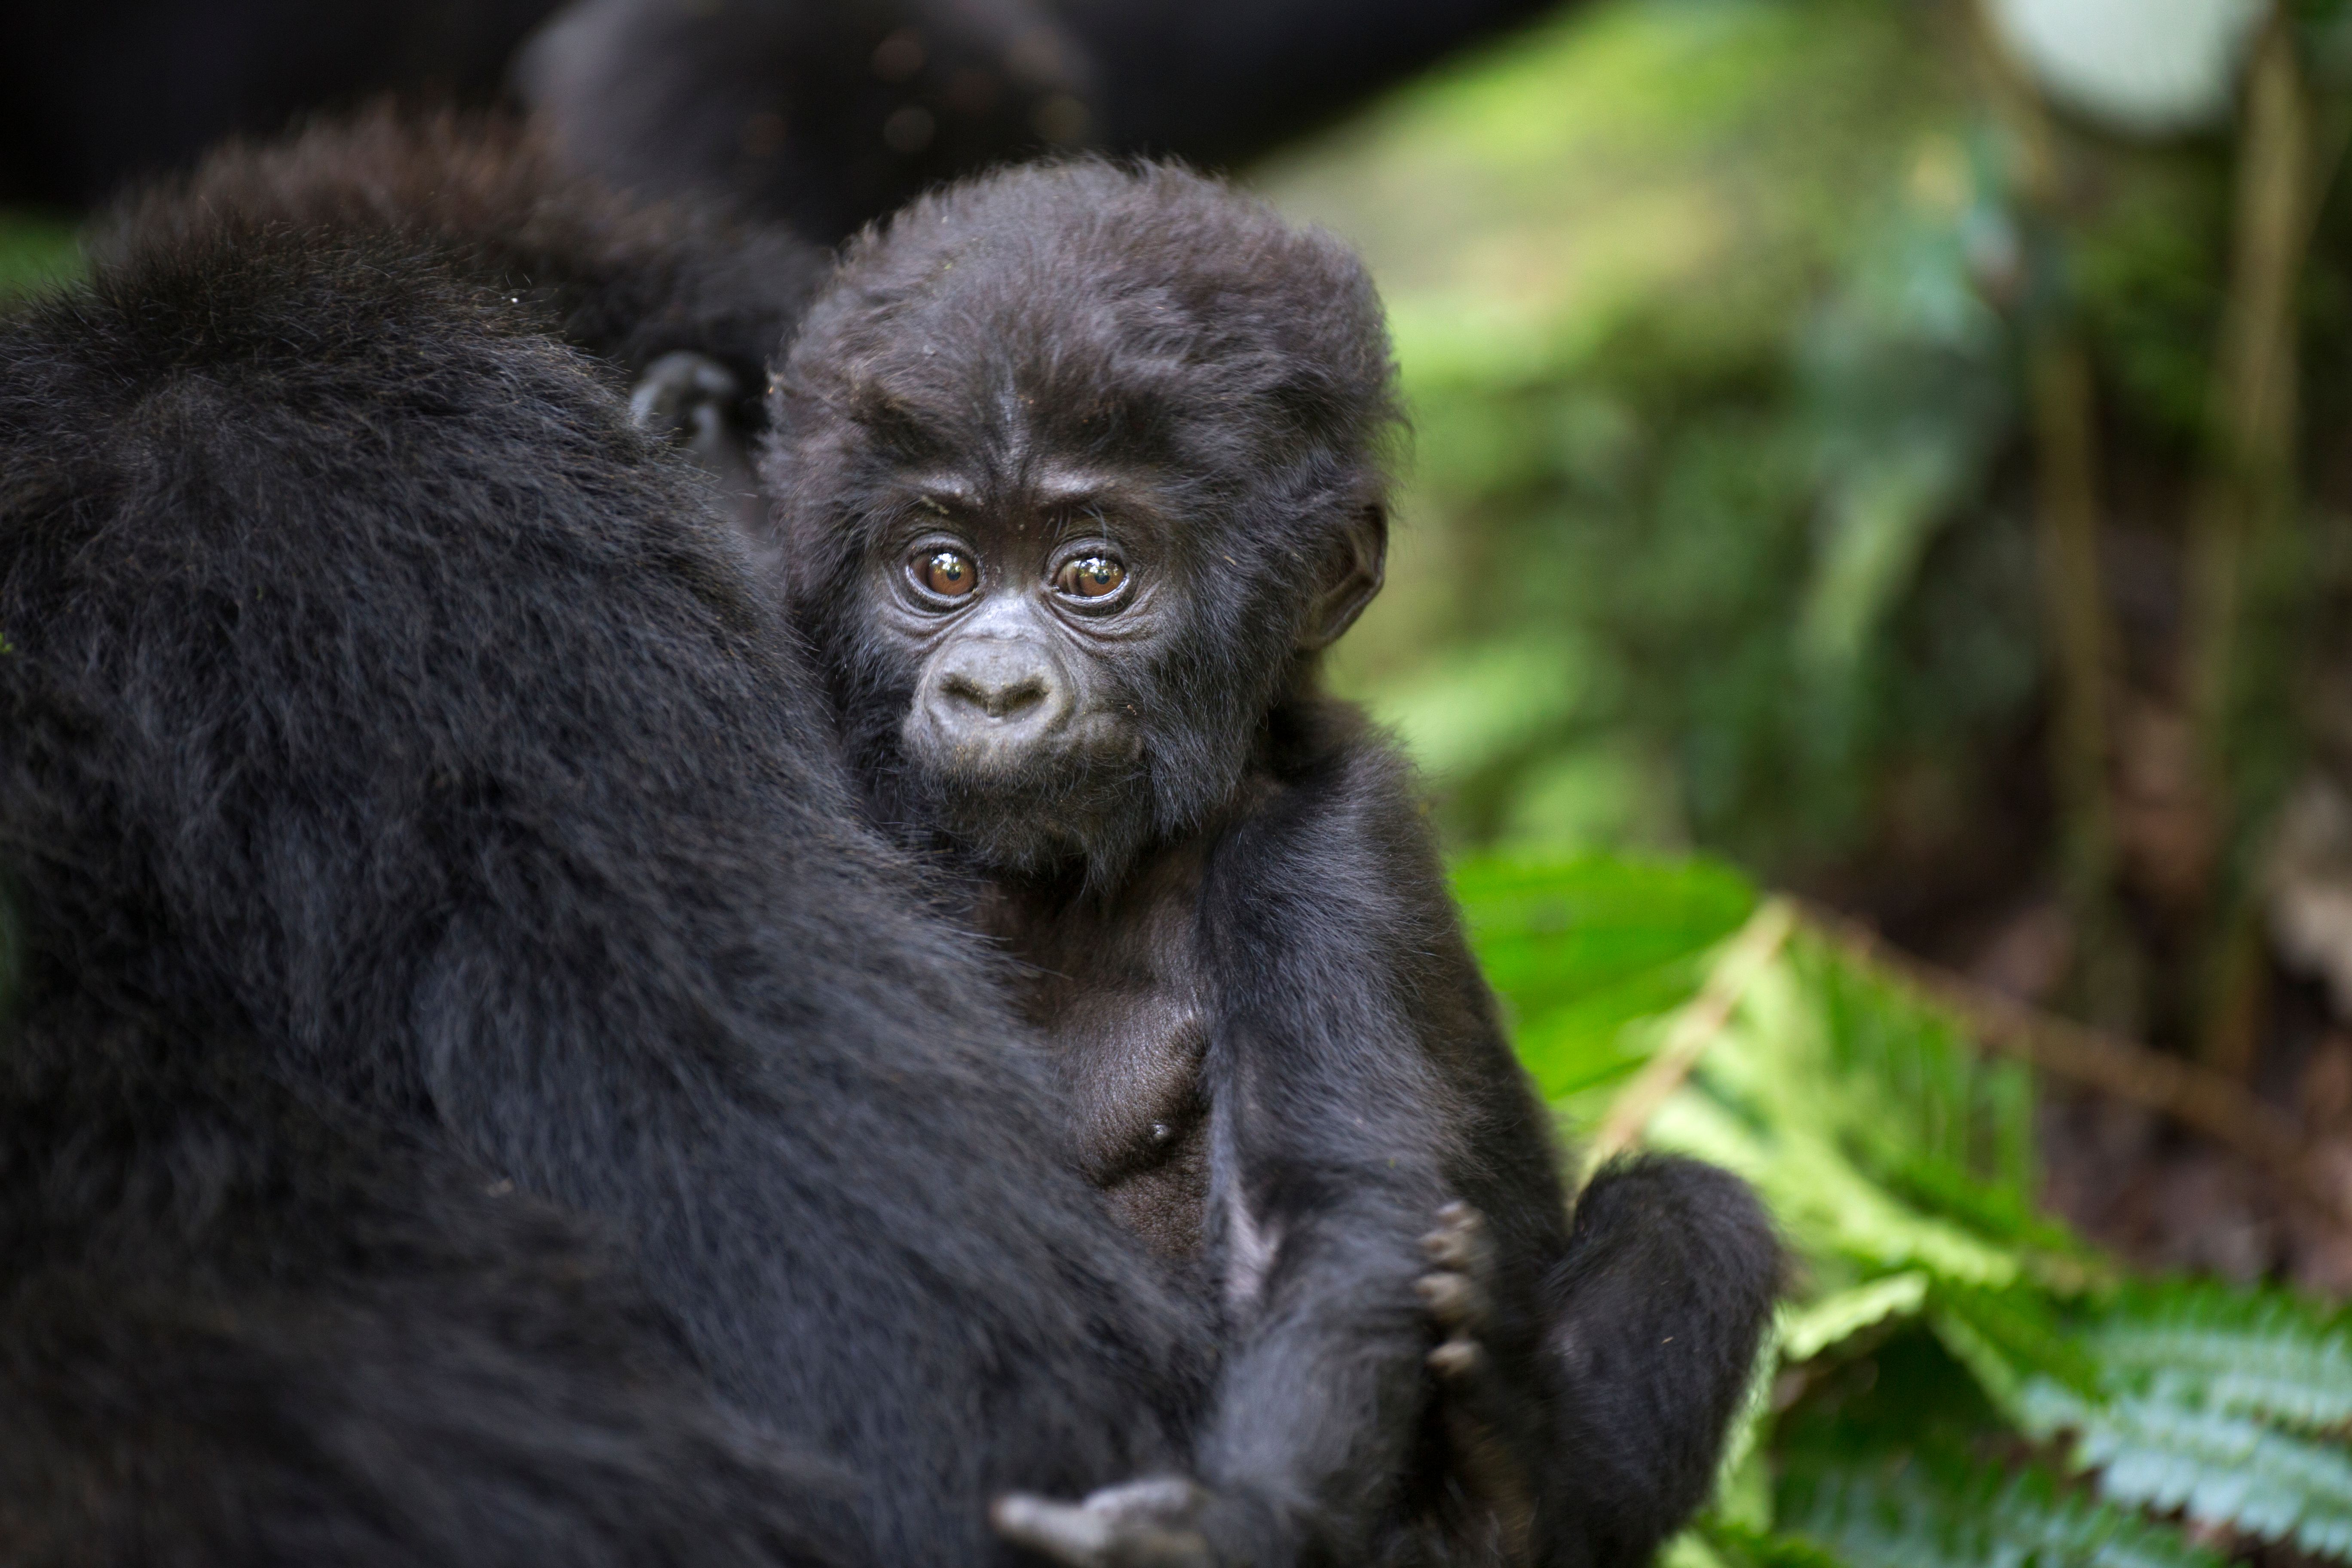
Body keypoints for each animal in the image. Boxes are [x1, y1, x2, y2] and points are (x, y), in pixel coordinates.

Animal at [762, 158, 1781, 1567]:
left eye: (1093, 572)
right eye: (943, 568)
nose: (992, 688)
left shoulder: (1327, 850)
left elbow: (1327, 1219)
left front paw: (1217, 1525)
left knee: (1695, 1214)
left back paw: (1523, 1467)